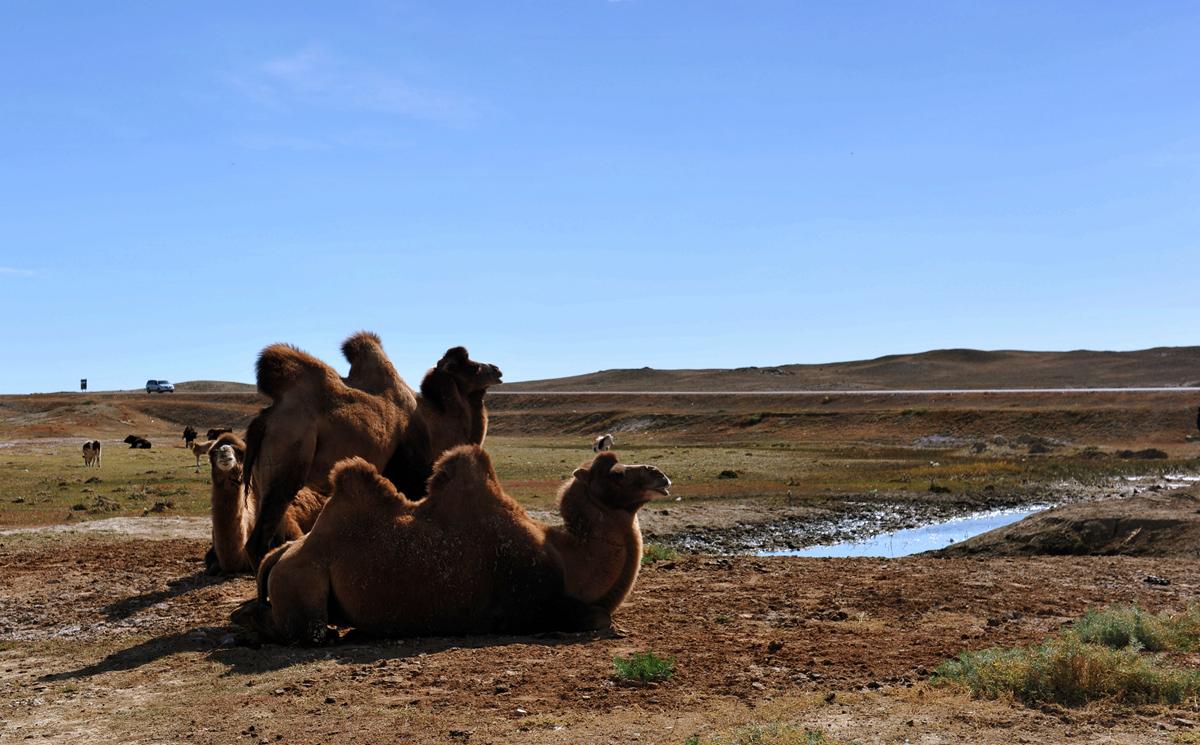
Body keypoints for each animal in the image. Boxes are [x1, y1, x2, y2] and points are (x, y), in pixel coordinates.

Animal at [229, 443, 672, 643]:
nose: (659, 474)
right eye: (615, 473)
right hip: (303, 585)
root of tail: (281, 554)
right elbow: (597, 618)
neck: (568, 560)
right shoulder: (530, 604)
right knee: (310, 631)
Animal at [241, 333, 504, 563]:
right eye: (472, 366)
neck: (436, 421)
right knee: (258, 541)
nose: (497, 369)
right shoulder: (410, 476)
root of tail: (265, 420)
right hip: (288, 461)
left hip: (262, 478)